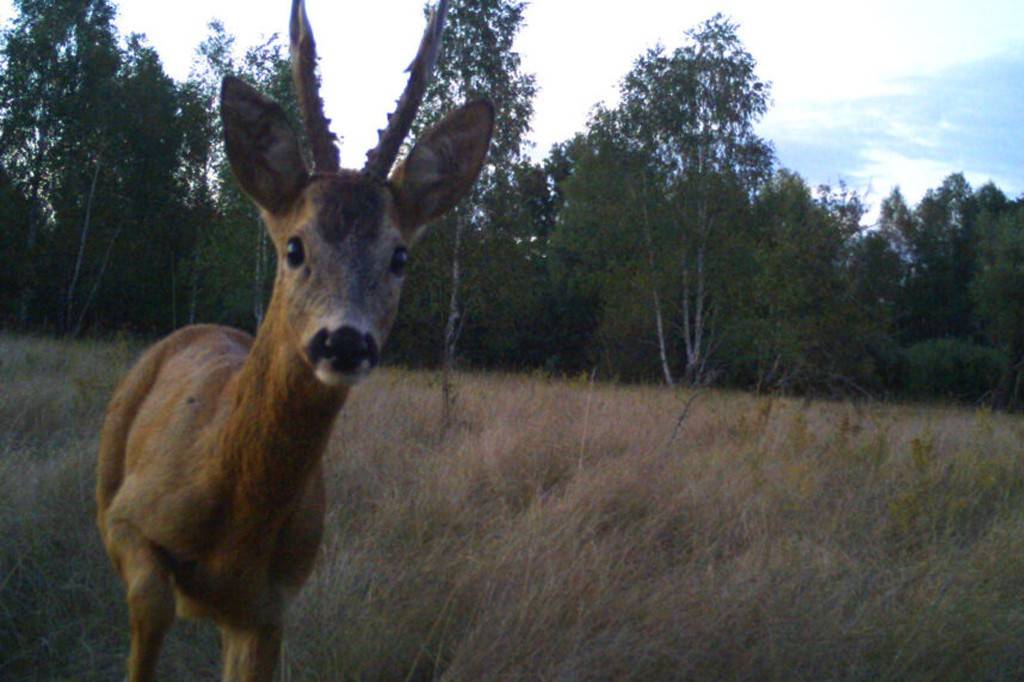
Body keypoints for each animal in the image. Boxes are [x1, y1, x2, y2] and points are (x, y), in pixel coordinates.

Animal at [95, 1, 492, 679]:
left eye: (400, 256)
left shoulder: (271, 606)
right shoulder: (127, 519)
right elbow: (153, 604)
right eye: (294, 247)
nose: (345, 342)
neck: (234, 519)